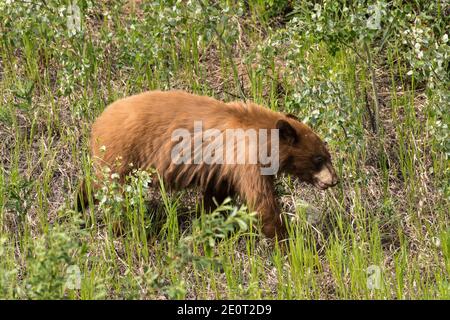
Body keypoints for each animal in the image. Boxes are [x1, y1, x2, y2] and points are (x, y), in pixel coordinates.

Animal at [77, 90, 338, 238]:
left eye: (328, 155)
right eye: (319, 158)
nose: (335, 180)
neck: (262, 137)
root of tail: (98, 121)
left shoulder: (223, 169)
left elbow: (216, 196)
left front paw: (206, 224)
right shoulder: (245, 159)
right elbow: (261, 201)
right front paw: (288, 240)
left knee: (94, 184)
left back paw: (77, 209)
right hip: (122, 154)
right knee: (112, 192)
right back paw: (121, 229)